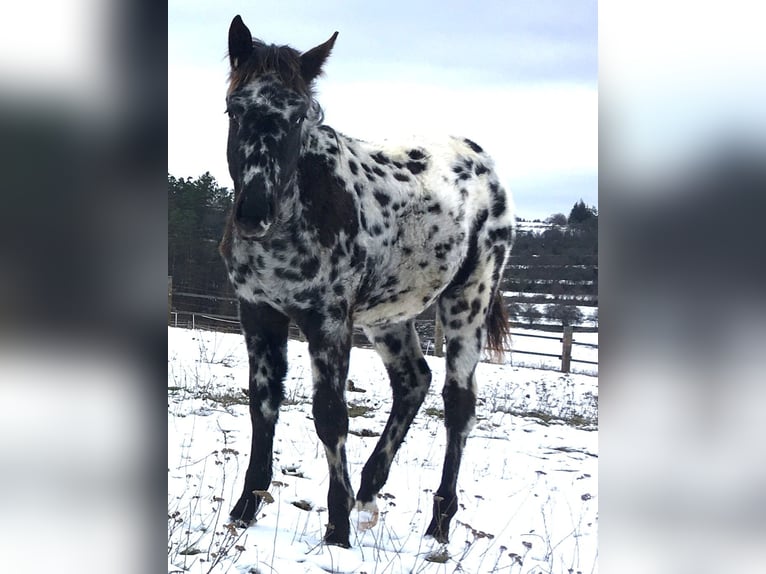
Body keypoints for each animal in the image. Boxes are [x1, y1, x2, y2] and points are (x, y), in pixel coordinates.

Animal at [219, 15, 516, 552]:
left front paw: (336, 531)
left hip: (468, 301)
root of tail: (481, 162)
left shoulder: (329, 321)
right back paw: (370, 491)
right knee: (413, 381)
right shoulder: (258, 313)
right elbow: (263, 406)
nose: (254, 213)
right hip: (389, 316)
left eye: (298, 116)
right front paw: (245, 510)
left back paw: (438, 525)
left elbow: (331, 415)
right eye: (236, 108)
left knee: (458, 403)